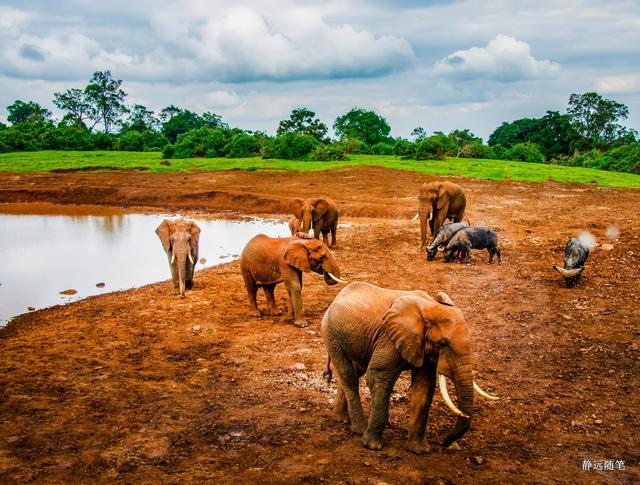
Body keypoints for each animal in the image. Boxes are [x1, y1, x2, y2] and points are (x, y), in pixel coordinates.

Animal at [322, 282, 498, 452]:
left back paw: (341, 419)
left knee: (353, 372)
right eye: (442, 344)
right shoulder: (389, 339)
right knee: (349, 376)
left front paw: (419, 451)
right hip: (331, 335)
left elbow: (424, 386)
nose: (444, 443)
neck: (431, 307)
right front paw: (372, 446)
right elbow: (378, 378)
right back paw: (359, 429)